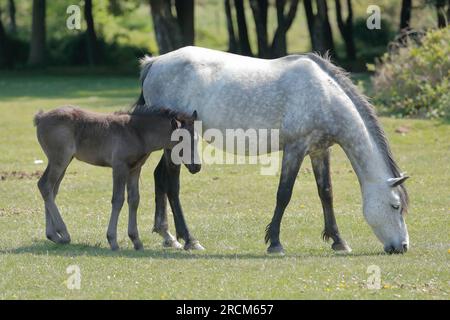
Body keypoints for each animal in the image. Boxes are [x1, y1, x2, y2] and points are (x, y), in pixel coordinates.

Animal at [135, 45, 410, 255]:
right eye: (395, 206)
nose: (402, 246)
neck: (324, 94)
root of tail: (154, 63)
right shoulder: (295, 148)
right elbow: (284, 194)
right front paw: (275, 243)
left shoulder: (319, 151)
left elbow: (326, 193)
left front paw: (338, 241)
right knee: (172, 184)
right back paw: (189, 239)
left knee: (160, 177)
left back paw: (168, 236)